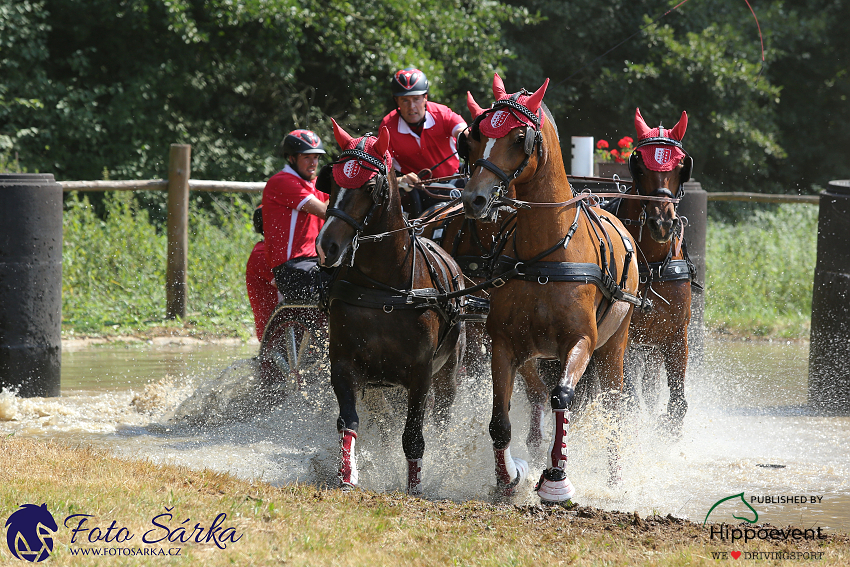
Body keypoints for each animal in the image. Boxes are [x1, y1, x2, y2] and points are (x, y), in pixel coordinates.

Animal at [314, 121, 468, 496]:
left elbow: (414, 435)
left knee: (440, 419)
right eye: (332, 182)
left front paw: (414, 486)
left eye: (370, 187)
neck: (383, 288)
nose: (326, 247)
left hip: (447, 375)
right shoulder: (345, 364)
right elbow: (349, 422)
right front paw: (347, 475)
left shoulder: (421, 373)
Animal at [460, 73, 640, 504]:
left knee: (610, 406)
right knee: (538, 394)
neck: (546, 253)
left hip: (613, 347)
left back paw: (613, 478)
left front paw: (556, 479)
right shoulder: (505, 344)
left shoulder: (581, 343)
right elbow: (499, 421)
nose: (474, 198)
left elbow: (564, 398)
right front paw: (507, 479)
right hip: (532, 354)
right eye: (474, 137)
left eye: (518, 137)